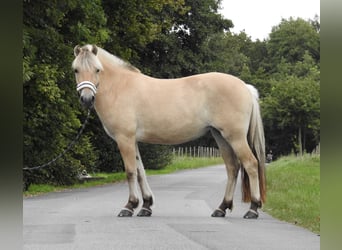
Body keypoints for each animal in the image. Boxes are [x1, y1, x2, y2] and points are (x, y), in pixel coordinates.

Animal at [71, 44, 268, 219]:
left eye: (97, 70)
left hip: (235, 137)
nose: (87, 99)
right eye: (76, 70)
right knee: (233, 168)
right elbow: (141, 172)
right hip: (220, 136)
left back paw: (253, 209)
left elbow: (131, 171)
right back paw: (221, 208)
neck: (120, 87)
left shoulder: (124, 139)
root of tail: (245, 87)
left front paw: (129, 206)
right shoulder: (133, 140)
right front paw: (146, 206)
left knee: (251, 164)